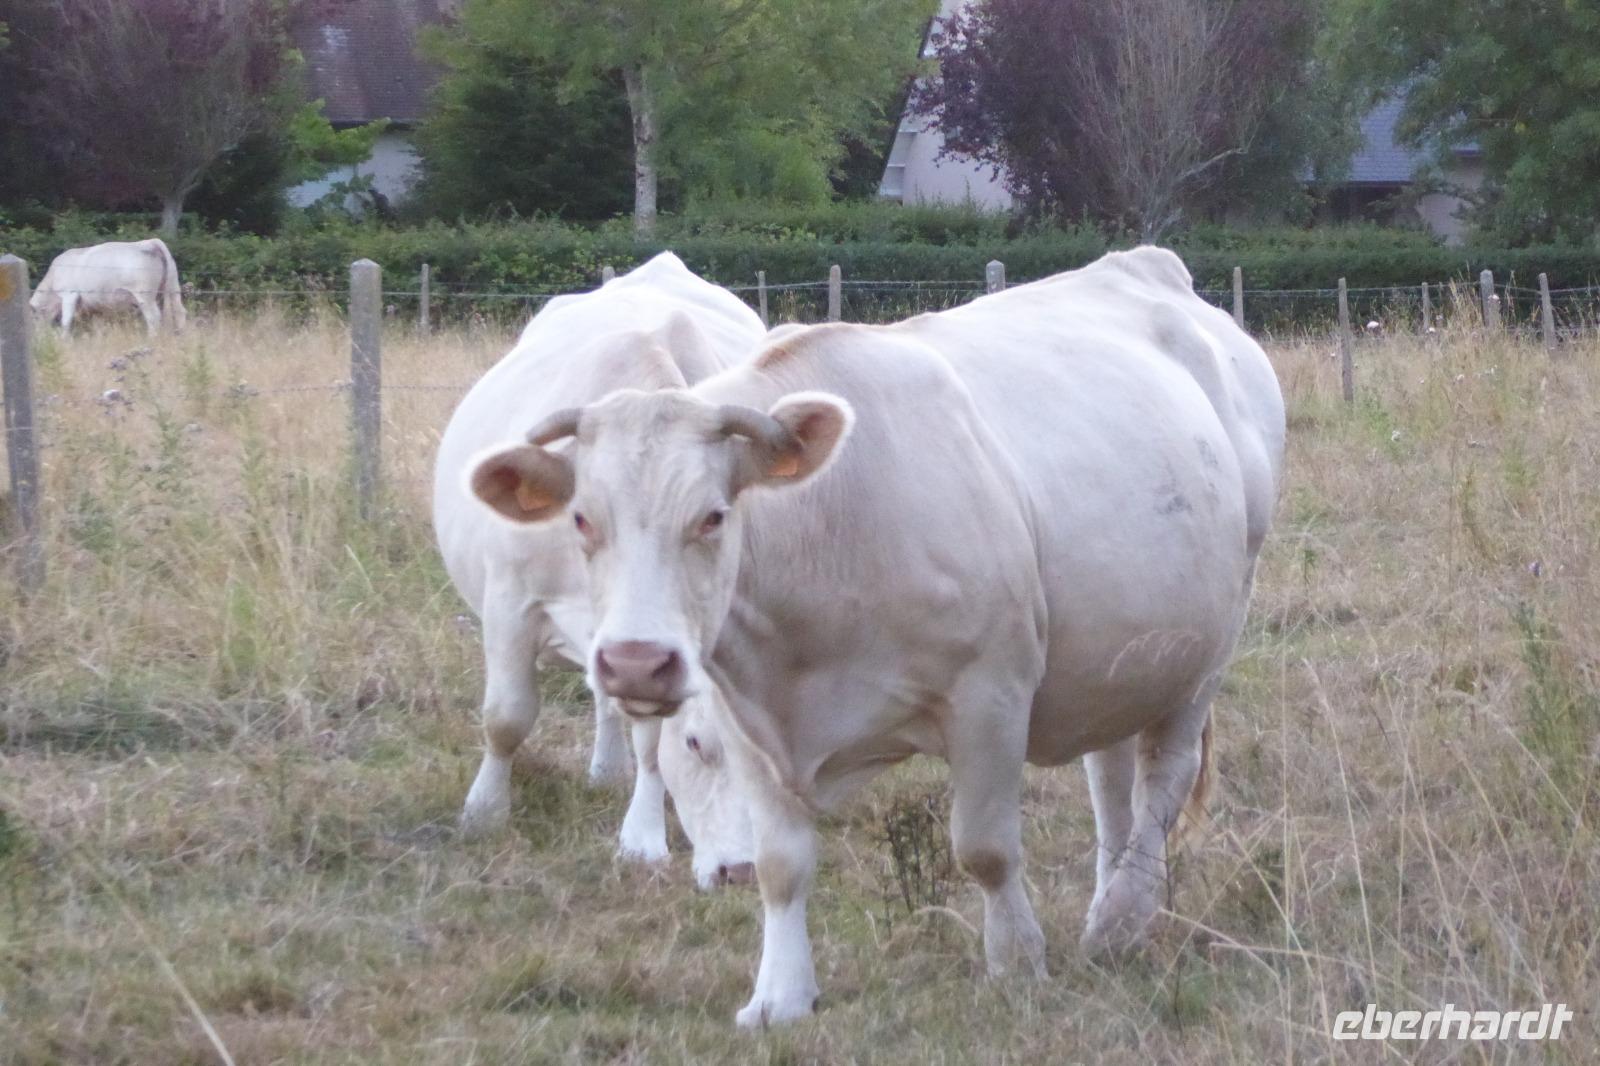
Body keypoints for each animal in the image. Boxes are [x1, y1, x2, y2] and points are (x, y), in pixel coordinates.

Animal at [30, 239, 188, 335]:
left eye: (34, 318)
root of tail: (151, 242)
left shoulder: (69, 294)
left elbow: (66, 321)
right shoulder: (96, 306)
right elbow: (99, 327)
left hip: (145, 295)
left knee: (153, 317)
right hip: (173, 288)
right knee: (179, 312)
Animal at [433, 252, 756, 888]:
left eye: (713, 516)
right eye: (697, 745)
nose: (741, 871)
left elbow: (648, 740)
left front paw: (642, 836)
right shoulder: (509, 603)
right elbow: (506, 717)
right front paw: (484, 812)